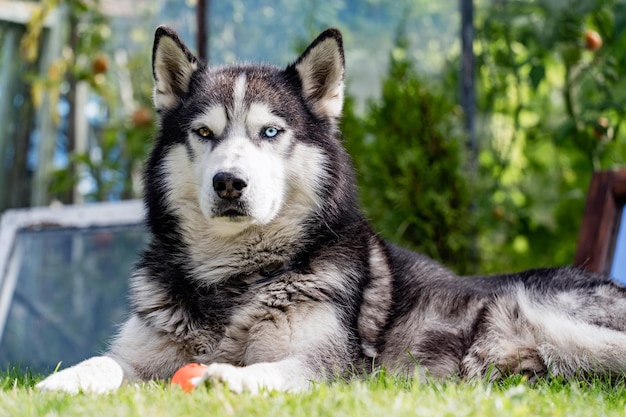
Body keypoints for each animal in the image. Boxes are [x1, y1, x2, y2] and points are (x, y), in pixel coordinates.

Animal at [35, 26, 626, 394]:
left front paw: (232, 378)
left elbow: (273, 371)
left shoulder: (329, 365)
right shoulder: (139, 356)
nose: (229, 183)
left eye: (270, 132)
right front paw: (59, 383)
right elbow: (102, 361)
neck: (234, 280)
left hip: (549, 316)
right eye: (204, 133)